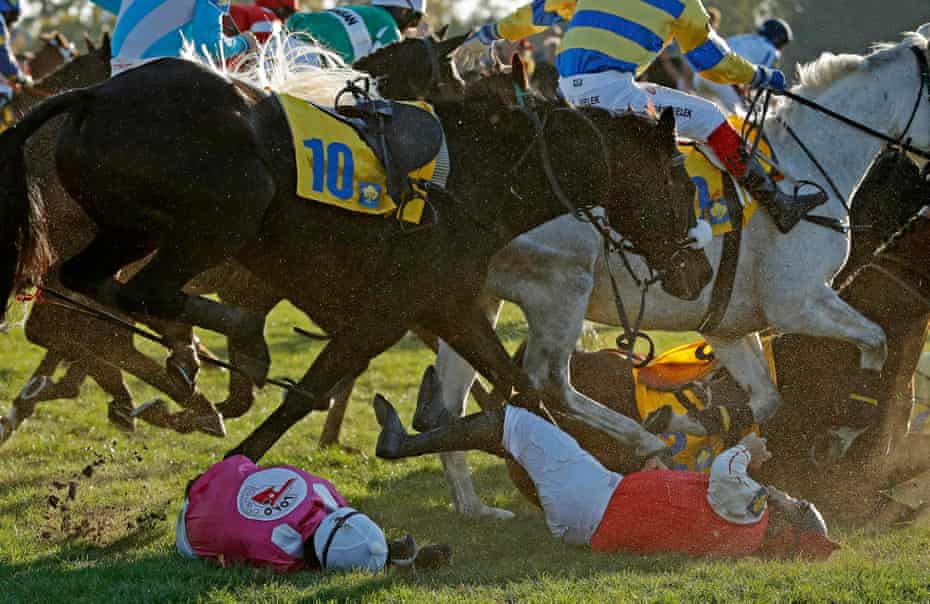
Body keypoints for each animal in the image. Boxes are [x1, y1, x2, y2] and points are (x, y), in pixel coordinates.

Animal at [0, 45, 711, 463]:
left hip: (128, 231)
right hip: (216, 221)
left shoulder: (448, 306)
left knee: (87, 283)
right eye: (683, 183)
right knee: (137, 293)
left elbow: (520, 390)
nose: (697, 269)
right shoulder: (385, 313)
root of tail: (92, 95)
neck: (474, 178)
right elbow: (310, 393)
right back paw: (230, 343)